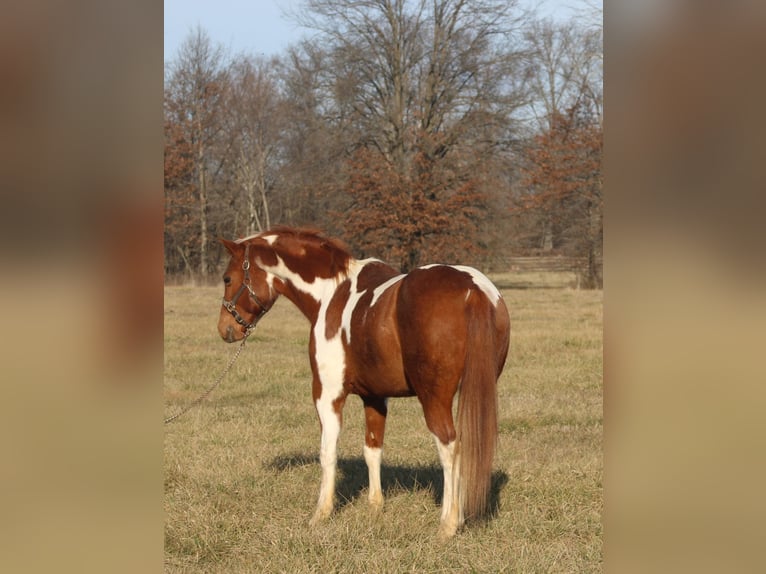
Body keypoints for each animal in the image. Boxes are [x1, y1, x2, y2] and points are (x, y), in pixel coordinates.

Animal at [219, 228, 512, 540]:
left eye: (227, 278)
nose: (226, 329)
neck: (331, 294)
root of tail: (472, 289)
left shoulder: (327, 395)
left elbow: (328, 452)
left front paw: (321, 514)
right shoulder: (375, 397)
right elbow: (372, 449)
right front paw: (375, 506)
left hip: (435, 399)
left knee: (449, 449)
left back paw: (448, 523)